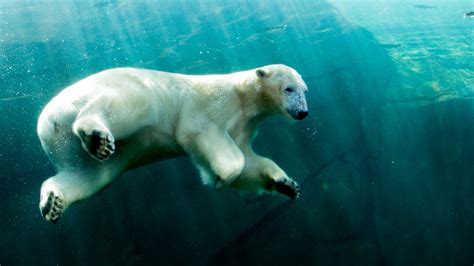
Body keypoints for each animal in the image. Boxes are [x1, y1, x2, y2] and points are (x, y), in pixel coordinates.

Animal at [39, 64, 310, 222]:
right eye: (288, 89)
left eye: (304, 90)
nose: (303, 112)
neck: (243, 98)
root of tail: (49, 119)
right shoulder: (212, 107)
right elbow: (209, 139)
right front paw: (220, 179)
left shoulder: (243, 127)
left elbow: (251, 162)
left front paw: (287, 184)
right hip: (131, 91)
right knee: (125, 106)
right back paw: (95, 135)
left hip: (67, 147)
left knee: (87, 175)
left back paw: (53, 202)